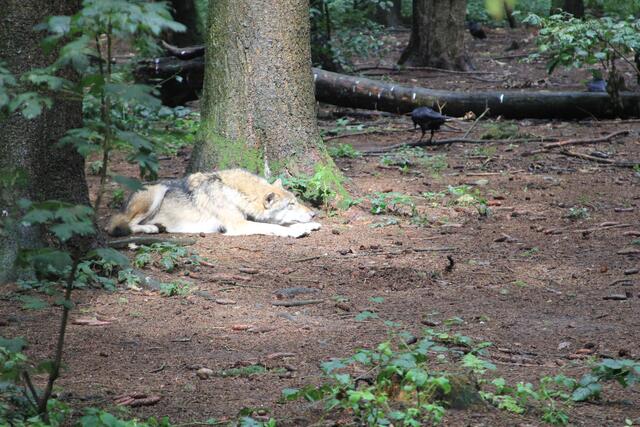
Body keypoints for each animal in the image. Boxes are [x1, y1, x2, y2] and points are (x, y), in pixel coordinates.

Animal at [107, 169, 321, 238]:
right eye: (290, 204)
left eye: (296, 201)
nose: (314, 213)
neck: (233, 193)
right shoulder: (238, 225)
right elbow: (275, 227)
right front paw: (296, 231)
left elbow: (281, 223)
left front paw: (310, 225)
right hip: (157, 191)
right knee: (121, 225)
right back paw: (151, 228)